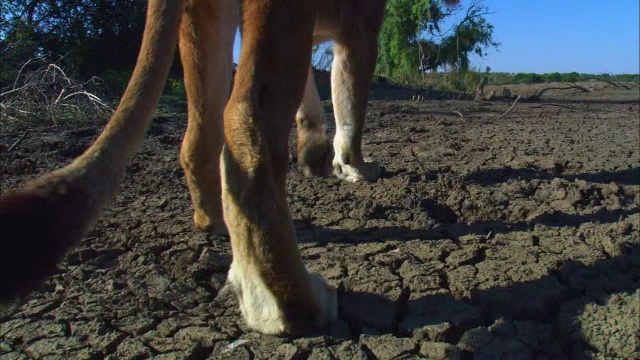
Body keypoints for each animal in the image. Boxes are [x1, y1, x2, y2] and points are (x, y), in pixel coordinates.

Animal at [0, 0, 460, 334]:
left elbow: (312, 99)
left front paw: (315, 157)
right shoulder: (360, 24)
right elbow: (349, 100)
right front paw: (355, 167)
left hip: (205, 17)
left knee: (199, 136)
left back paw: (216, 222)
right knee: (246, 118)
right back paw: (289, 305)